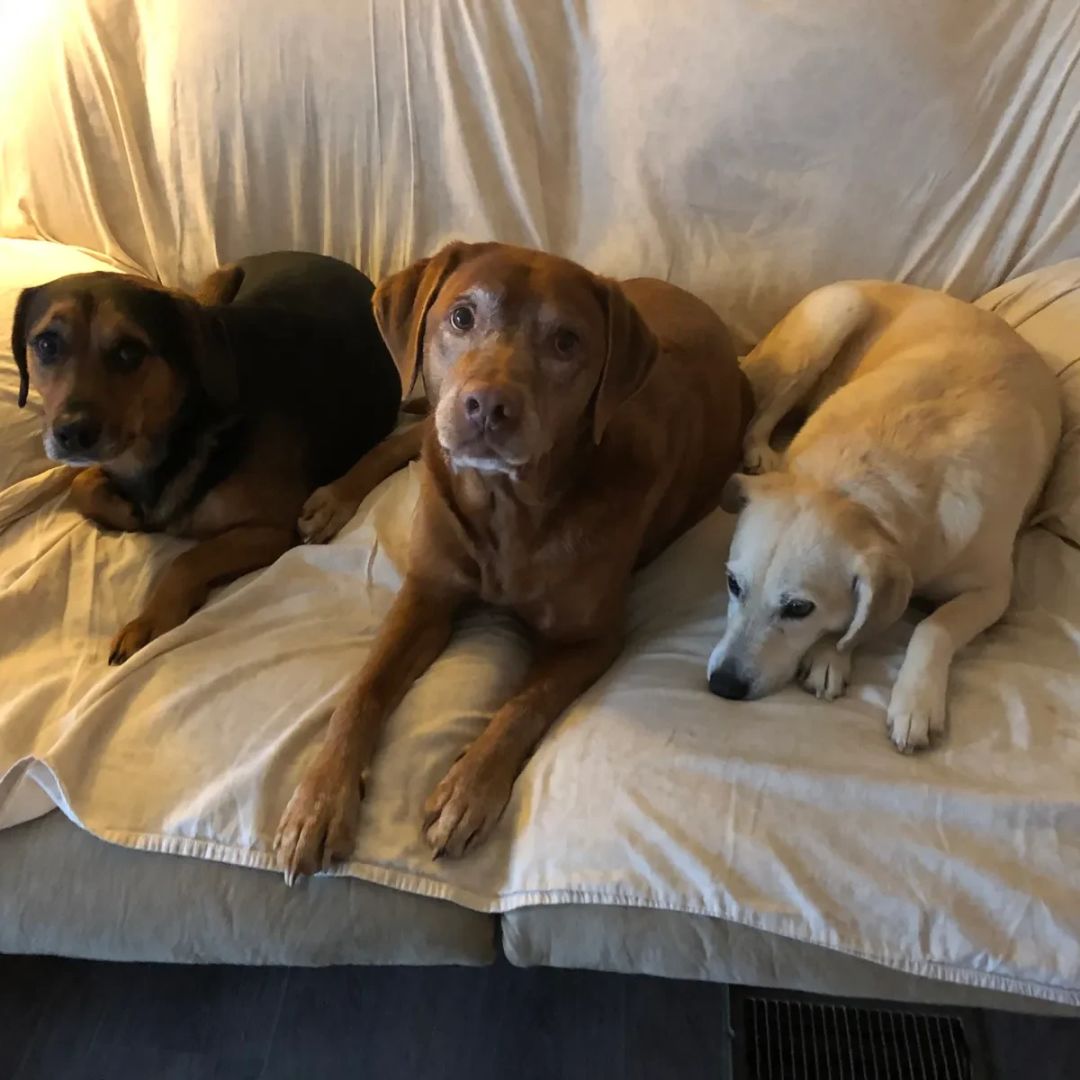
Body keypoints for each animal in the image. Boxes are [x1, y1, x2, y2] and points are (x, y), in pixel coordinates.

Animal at [7, 249, 406, 660]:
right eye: (47, 345)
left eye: (130, 352)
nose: (72, 433)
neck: (183, 424)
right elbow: (82, 485)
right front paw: (126, 511)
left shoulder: (272, 530)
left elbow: (189, 558)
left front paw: (150, 620)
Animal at [704, 278, 1058, 751]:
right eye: (733, 584)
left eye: (799, 609)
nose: (722, 685)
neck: (853, 489)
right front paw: (833, 655)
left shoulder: (994, 591)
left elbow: (932, 626)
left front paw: (914, 701)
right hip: (836, 312)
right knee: (759, 416)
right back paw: (762, 452)